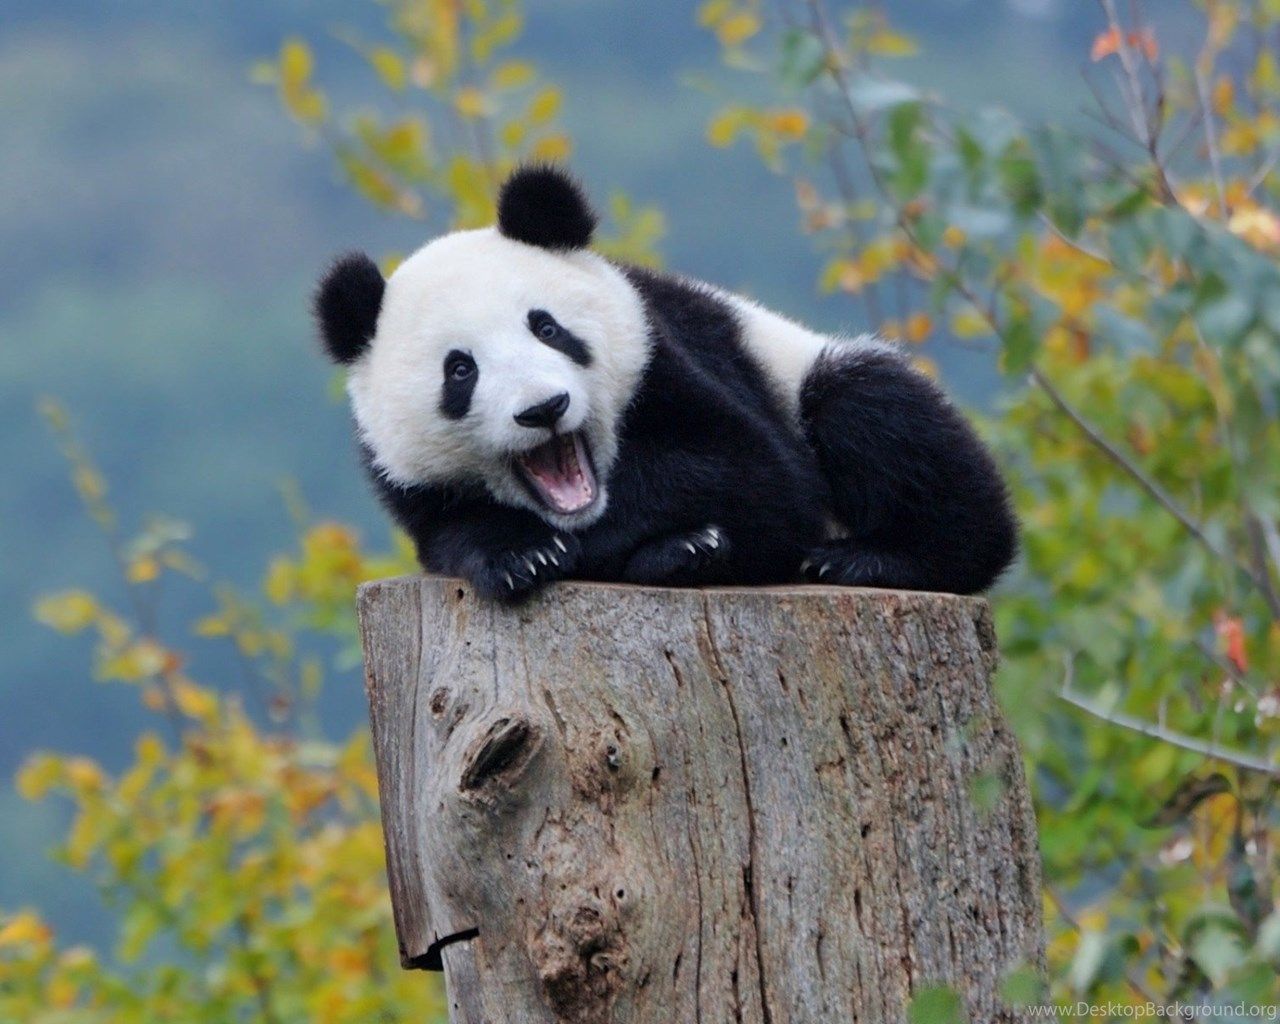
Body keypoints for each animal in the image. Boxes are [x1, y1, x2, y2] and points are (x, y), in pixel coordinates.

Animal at [315, 165, 1016, 603]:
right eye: (460, 369)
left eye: (547, 327)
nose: (544, 408)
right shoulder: (408, 482)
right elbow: (452, 534)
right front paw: (522, 557)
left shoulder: (673, 358)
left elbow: (754, 474)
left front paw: (668, 542)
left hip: (804, 371)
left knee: (874, 413)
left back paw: (868, 558)